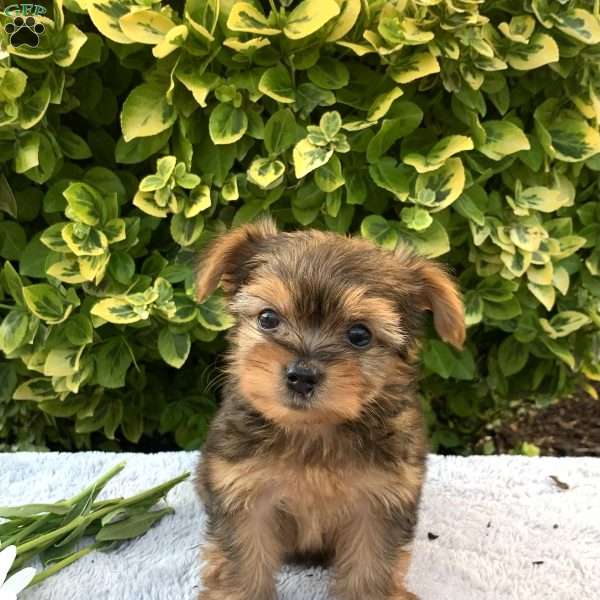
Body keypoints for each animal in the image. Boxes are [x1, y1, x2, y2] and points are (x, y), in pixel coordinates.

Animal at [195, 219, 466, 600]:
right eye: (268, 318)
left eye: (359, 334)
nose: (301, 376)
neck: (315, 431)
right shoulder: (245, 494)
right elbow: (243, 559)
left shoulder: (380, 501)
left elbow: (371, 564)